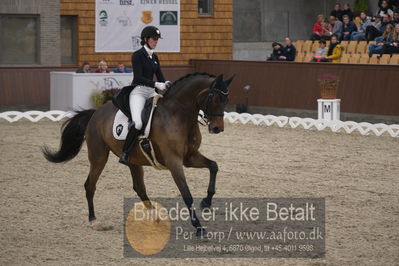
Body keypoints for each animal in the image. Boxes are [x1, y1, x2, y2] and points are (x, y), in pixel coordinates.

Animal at [41, 72, 234, 235]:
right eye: (214, 97)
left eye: (226, 99)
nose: (217, 128)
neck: (178, 114)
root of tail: (96, 113)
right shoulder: (174, 161)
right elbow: (186, 193)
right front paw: (199, 227)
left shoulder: (190, 157)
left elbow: (214, 166)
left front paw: (206, 202)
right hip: (99, 156)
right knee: (90, 185)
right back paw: (94, 221)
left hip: (133, 160)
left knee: (139, 187)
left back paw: (156, 218)